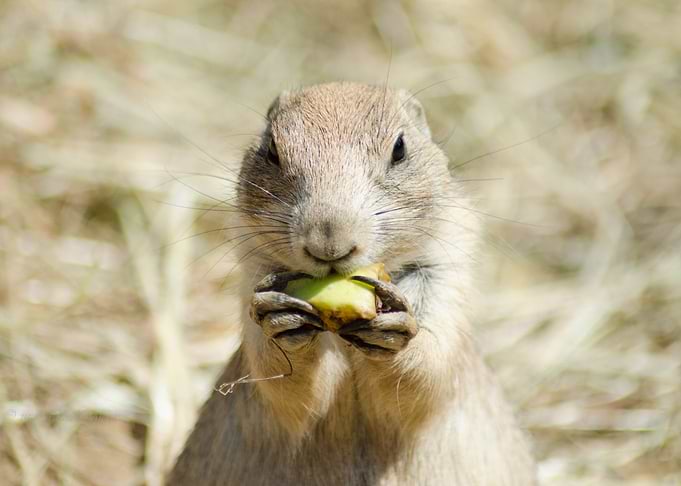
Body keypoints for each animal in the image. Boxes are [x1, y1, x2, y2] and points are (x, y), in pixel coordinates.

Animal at [168, 82, 536, 485]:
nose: (329, 241)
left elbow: (429, 369)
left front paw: (395, 330)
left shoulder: (446, 268)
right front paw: (280, 320)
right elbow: (280, 384)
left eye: (400, 149)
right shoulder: (252, 267)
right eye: (272, 151)